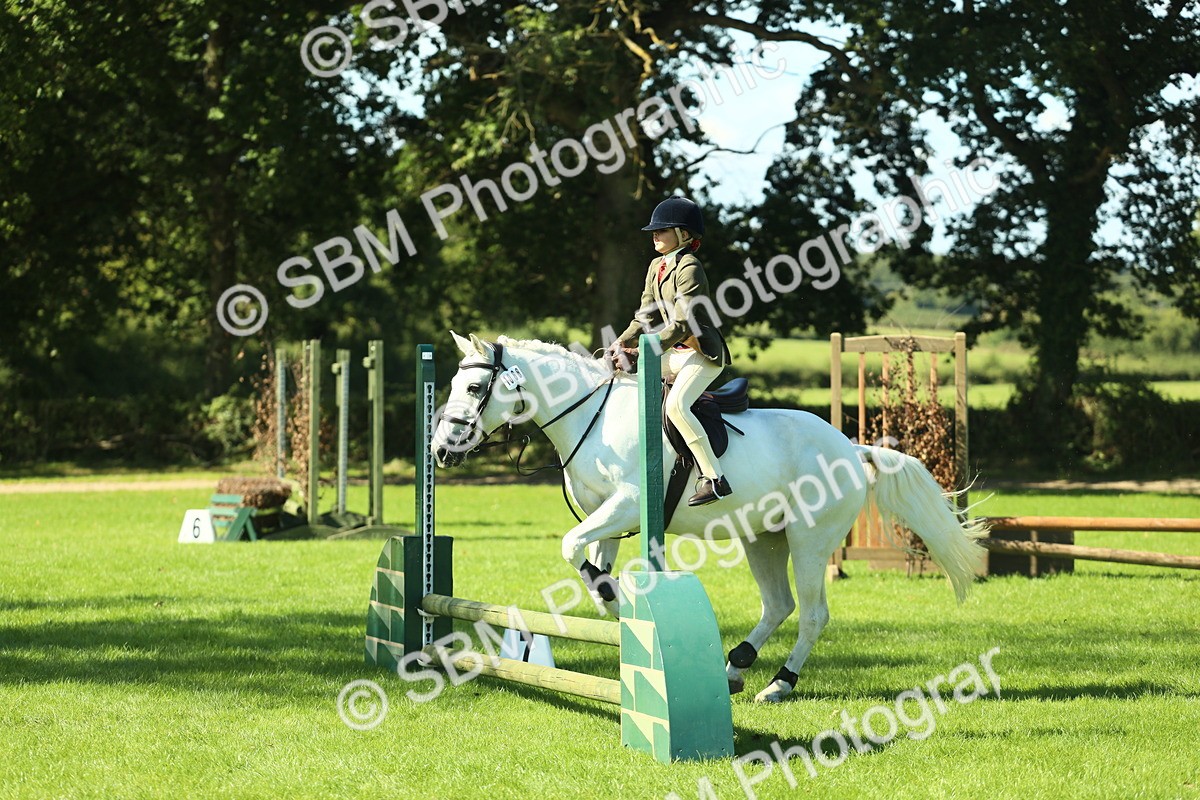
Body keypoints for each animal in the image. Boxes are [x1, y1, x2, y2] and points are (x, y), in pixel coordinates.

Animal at [432, 332, 987, 703]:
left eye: (476, 387)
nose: (440, 450)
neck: (591, 415)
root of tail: (850, 447)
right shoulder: (609, 518)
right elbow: (592, 565)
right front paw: (614, 606)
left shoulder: (626, 505)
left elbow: (571, 547)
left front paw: (619, 602)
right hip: (763, 538)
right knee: (778, 605)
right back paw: (736, 667)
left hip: (810, 541)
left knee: (811, 614)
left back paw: (778, 684)